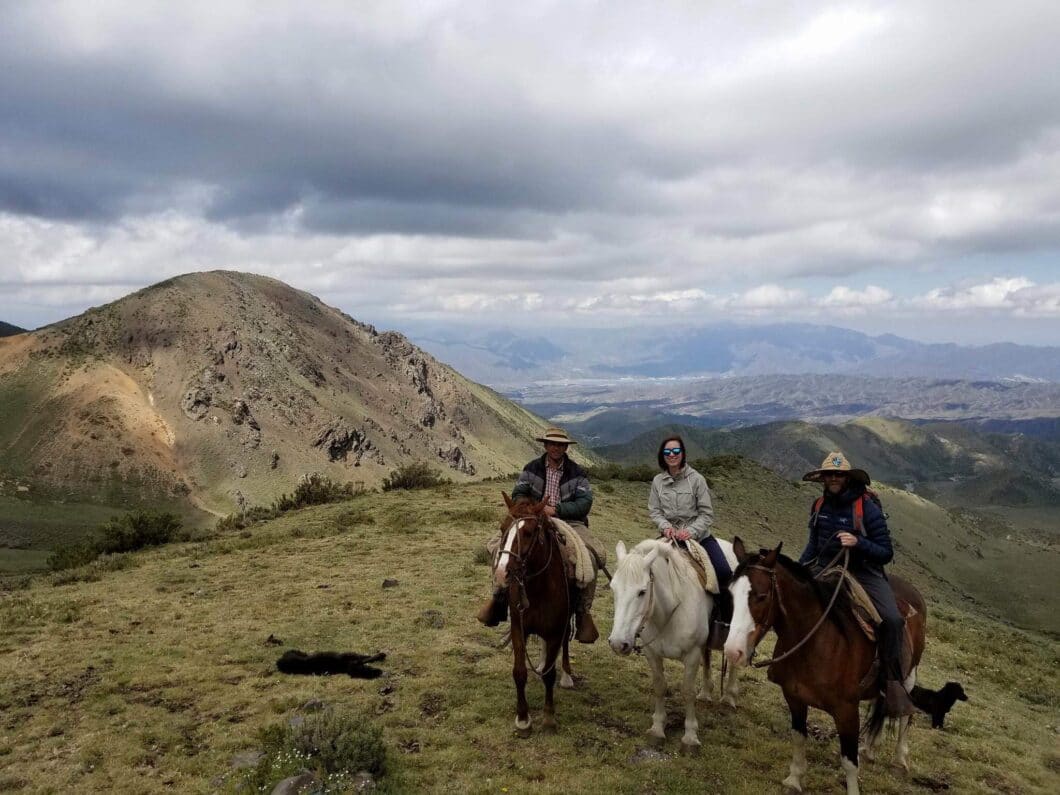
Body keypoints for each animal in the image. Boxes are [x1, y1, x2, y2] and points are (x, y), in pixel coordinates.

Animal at [493, 496, 576, 737]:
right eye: (502, 528)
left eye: (529, 533)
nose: (501, 574)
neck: (539, 588)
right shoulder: (518, 628)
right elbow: (520, 672)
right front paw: (523, 719)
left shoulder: (556, 631)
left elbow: (550, 674)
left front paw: (549, 718)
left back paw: (567, 675)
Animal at [610, 538, 741, 750]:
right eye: (613, 587)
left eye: (642, 592)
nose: (617, 643)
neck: (668, 614)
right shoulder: (652, 653)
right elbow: (659, 686)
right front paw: (657, 728)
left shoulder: (692, 655)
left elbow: (687, 691)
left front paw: (690, 736)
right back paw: (706, 693)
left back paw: (729, 697)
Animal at [725, 542, 924, 795]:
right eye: (731, 593)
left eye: (761, 596)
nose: (733, 651)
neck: (816, 642)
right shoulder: (794, 697)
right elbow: (799, 737)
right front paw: (794, 778)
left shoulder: (847, 710)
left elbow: (848, 761)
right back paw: (869, 749)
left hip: (909, 674)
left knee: (905, 714)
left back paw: (900, 760)